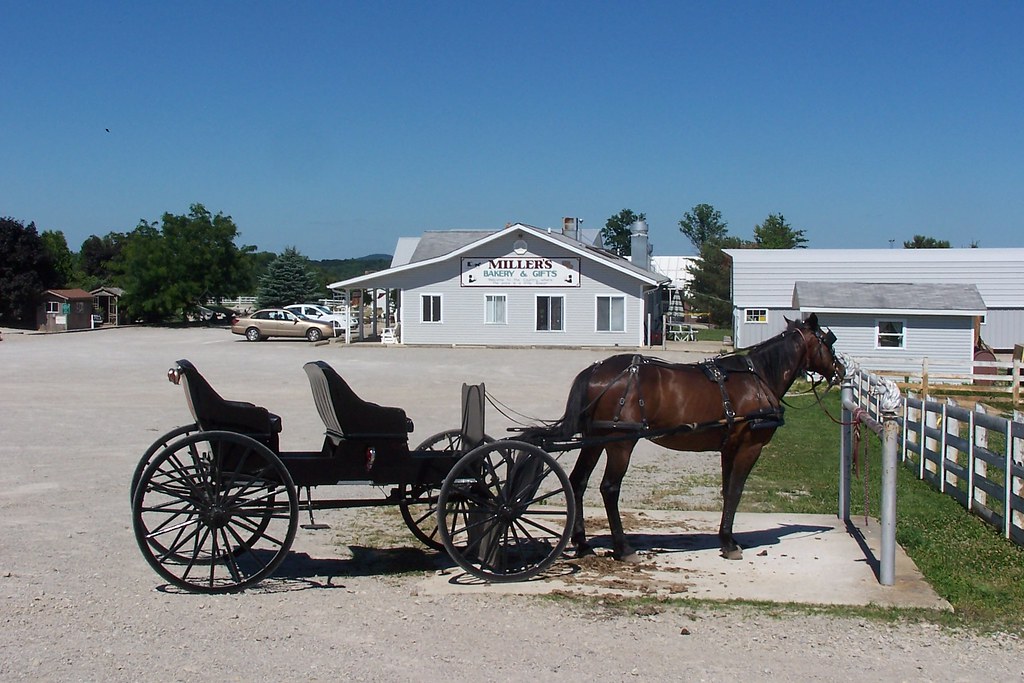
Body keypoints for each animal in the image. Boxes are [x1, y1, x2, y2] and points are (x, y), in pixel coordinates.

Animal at [528, 313, 844, 562]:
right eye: (828, 341)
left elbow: (727, 490)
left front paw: (726, 538)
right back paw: (623, 548)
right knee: (609, 488)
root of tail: (596, 369)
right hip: (621, 443)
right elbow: (736, 491)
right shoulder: (750, 446)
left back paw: (582, 544)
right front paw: (730, 544)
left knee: (577, 483)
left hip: (596, 440)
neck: (759, 378)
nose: (840, 370)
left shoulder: (729, 447)